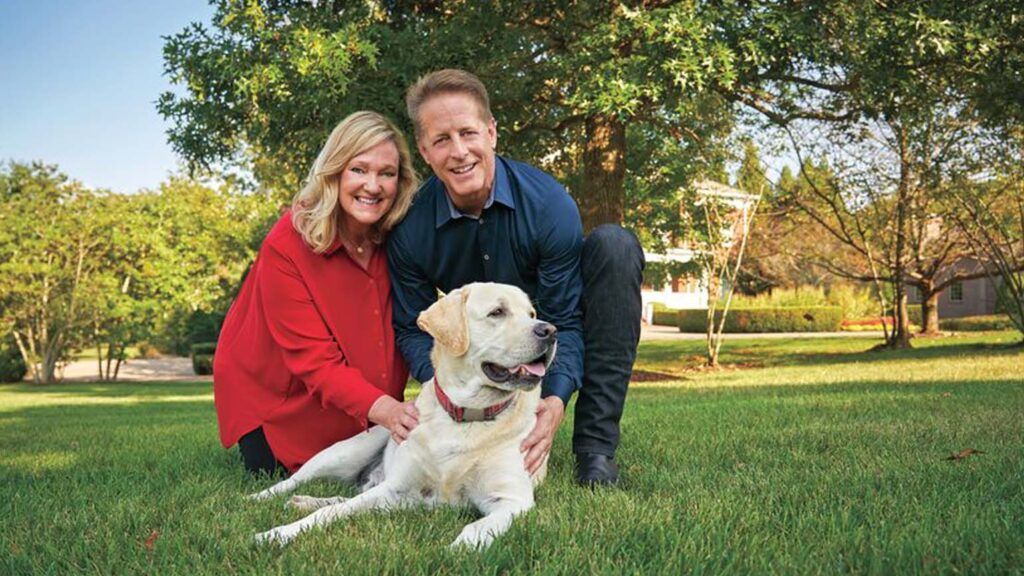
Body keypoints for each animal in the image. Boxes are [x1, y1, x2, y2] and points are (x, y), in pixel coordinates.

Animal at [250, 282, 557, 545]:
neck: (465, 416)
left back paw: (303, 501)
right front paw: (277, 534)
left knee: (341, 496)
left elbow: (477, 528)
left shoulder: (511, 500)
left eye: (531, 314)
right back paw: (258, 497)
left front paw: (459, 550)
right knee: (296, 481)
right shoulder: (395, 490)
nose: (551, 331)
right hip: (347, 451)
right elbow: (331, 513)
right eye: (497, 312)